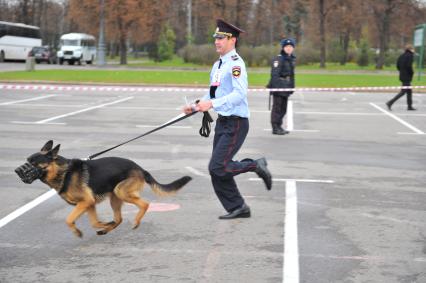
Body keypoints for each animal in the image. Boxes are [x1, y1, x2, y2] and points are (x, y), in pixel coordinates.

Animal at [15, 141, 191, 239]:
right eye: (27, 160)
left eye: (34, 163)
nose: (16, 171)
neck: (63, 171)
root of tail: (140, 169)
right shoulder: (89, 204)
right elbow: (94, 222)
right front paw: (104, 224)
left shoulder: (85, 202)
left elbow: (69, 219)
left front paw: (77, 232)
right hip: (114, 197)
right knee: (119, 219)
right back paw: (107, 229)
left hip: (120, 191)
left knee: (145, 204)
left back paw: (135, 222)